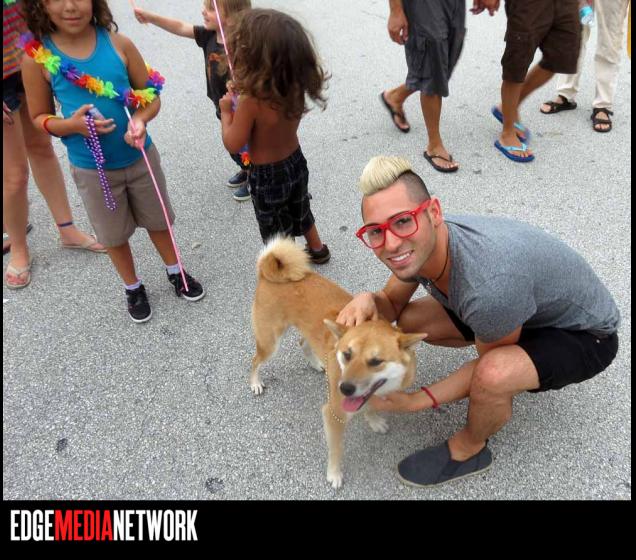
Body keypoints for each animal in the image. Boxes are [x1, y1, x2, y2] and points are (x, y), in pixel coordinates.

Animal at [250, 237, 427, 488]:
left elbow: (369, 407)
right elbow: (337, 450)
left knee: (302, 342)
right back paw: (255, 382)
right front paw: (334, 474)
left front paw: (373, 420)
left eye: (376, 361)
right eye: (346, 354)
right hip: (269, 342)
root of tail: (268, 272)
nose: (344, 388)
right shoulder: (333, 414)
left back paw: (316, 363)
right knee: (255, 361)